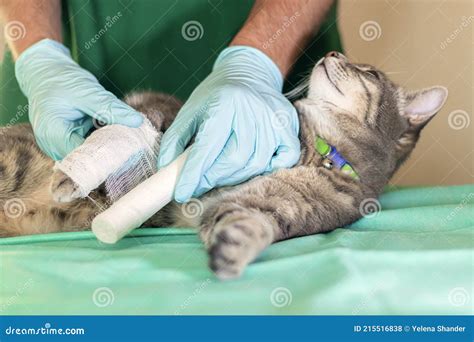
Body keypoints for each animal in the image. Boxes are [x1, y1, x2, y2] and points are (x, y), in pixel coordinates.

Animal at [0, 52, 448, 280]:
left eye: (369, 72)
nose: (333, 51)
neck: (317, 148)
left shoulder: (266, 207)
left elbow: (249, 225)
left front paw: (231, 254)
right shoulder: (170, 112)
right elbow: (153, 118)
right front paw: (74, 173)